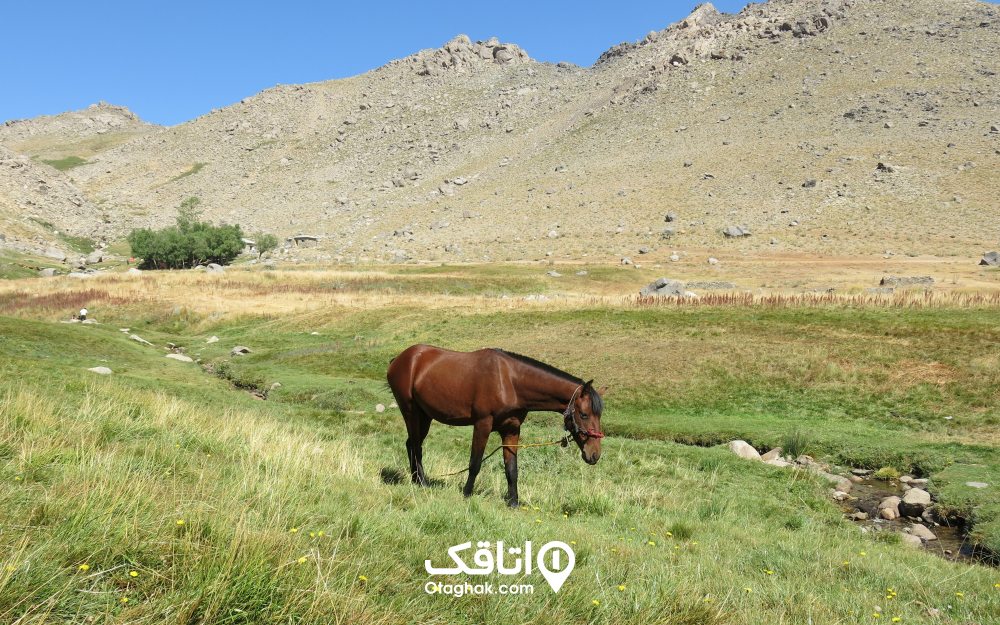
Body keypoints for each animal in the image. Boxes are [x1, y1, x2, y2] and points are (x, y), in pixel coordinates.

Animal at [384, 344, 600, 510]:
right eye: (584, 414)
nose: (595, 455)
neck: (510, 381)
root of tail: (400, 359)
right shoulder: (482, 424)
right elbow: (475, 463)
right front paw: (466, 494)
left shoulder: (511, 430)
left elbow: (511, 469)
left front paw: (513, 502)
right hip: (411, 412)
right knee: (415, 445)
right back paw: (421, 481)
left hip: (425, 416)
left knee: (412, 444)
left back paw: (417, 480)